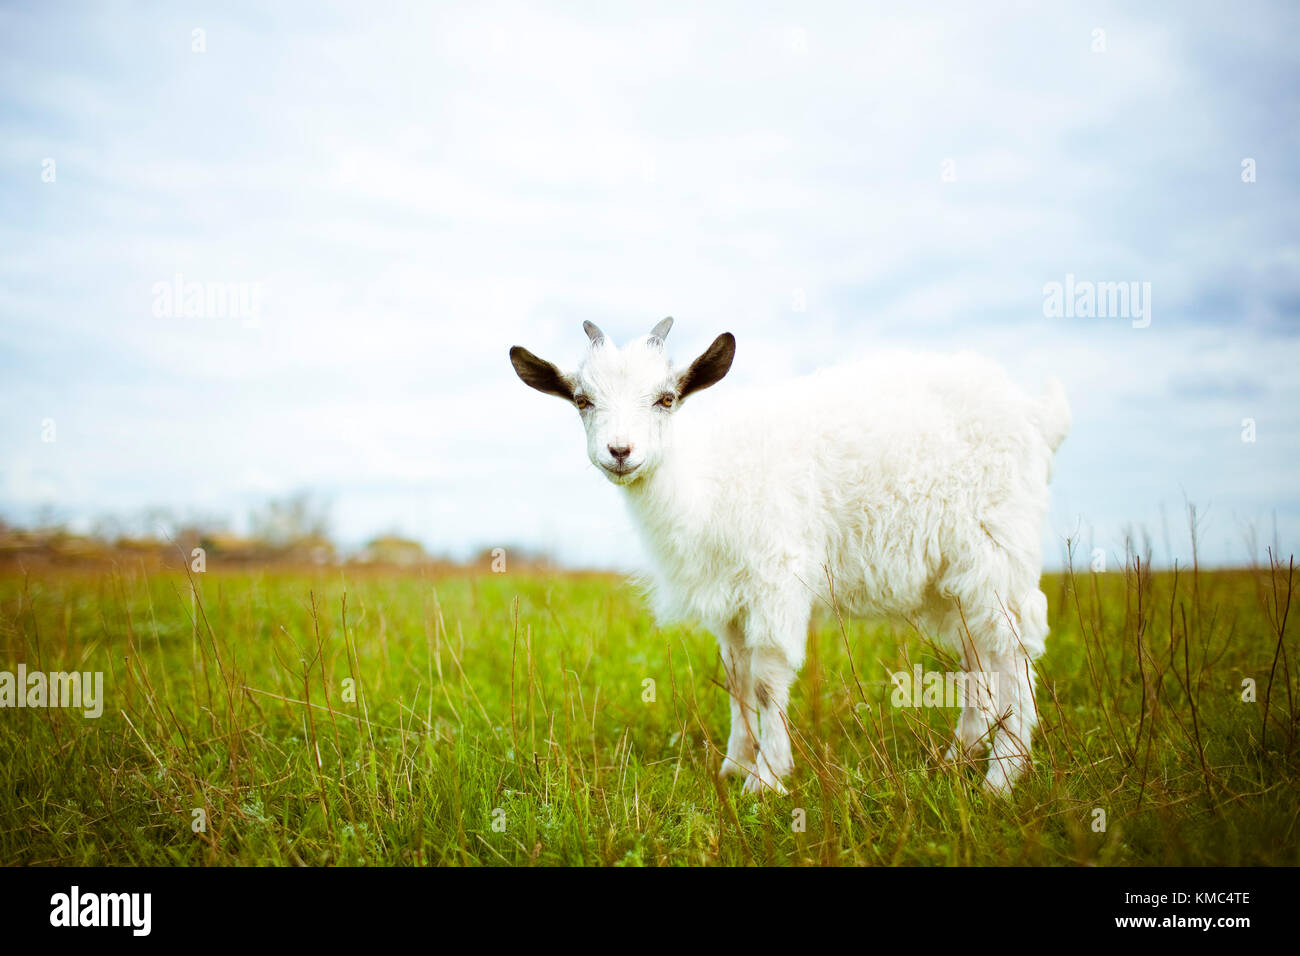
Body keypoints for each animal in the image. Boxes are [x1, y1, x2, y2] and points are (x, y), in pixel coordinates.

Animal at [510, 318, 1070, 795]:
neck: (704, 480)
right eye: (582, 400)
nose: (620, 452)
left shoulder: (774, 579)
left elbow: (765, 680)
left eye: (665, 399)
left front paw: (767, 778)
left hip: (997, 544)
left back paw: (1002, 776)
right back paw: (959, 756)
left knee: (1014, 645)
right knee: (978, 652)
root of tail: (1036, 416)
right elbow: (735, 677)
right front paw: (733, 765)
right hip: (955, 575)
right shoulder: (729, 598)